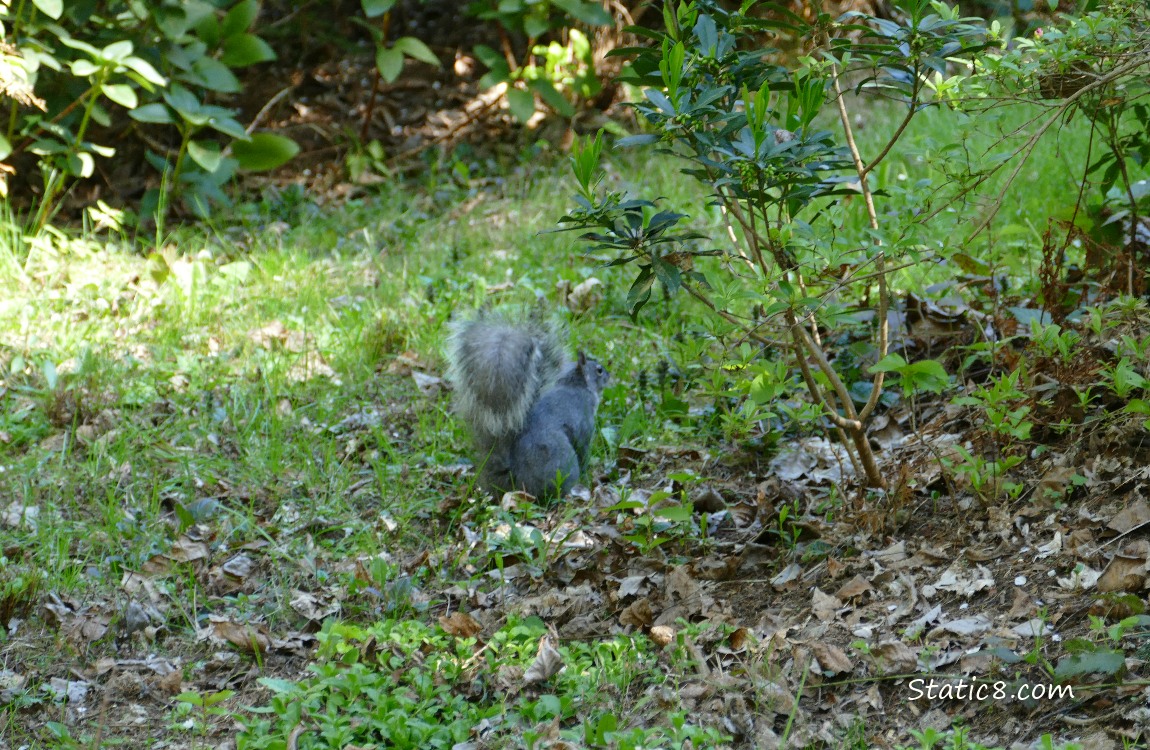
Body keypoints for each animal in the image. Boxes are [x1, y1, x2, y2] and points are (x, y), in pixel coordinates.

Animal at [445, 309, 610, 499]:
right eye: (599, 370)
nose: (609, 375)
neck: (575, 384)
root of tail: (513, 478)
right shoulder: (584, 421)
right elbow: (583, 447)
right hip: (561, 462)